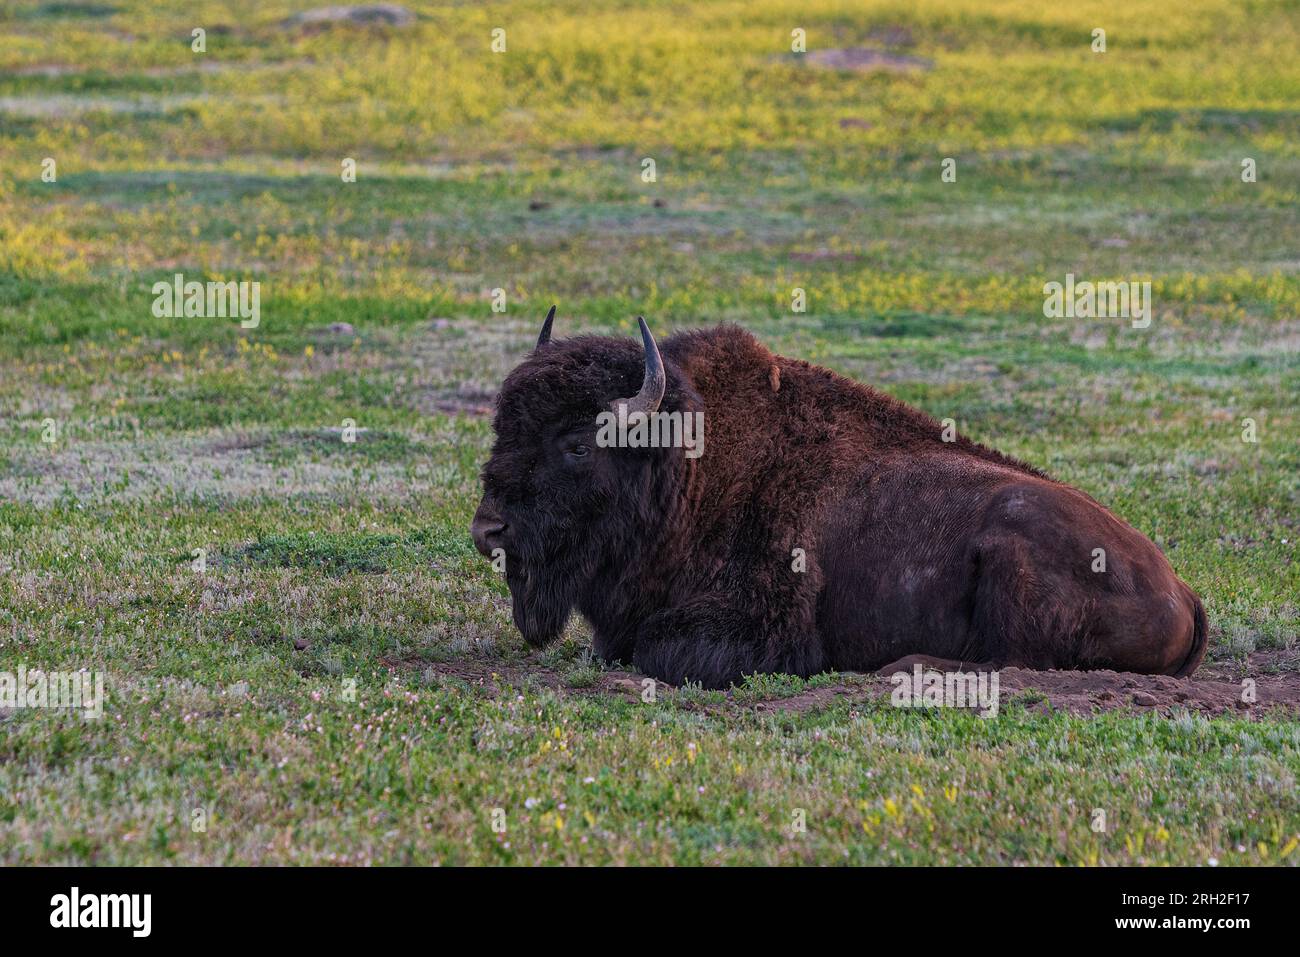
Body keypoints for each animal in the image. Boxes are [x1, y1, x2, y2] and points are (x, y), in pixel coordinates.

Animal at [471, 307, 1208, 689]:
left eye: (576, 444)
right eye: (502, 427)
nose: (488, 530)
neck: (690, 468)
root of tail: (1184, 590)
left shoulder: (761, 630)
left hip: (1012, 544)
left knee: (1011, 660)